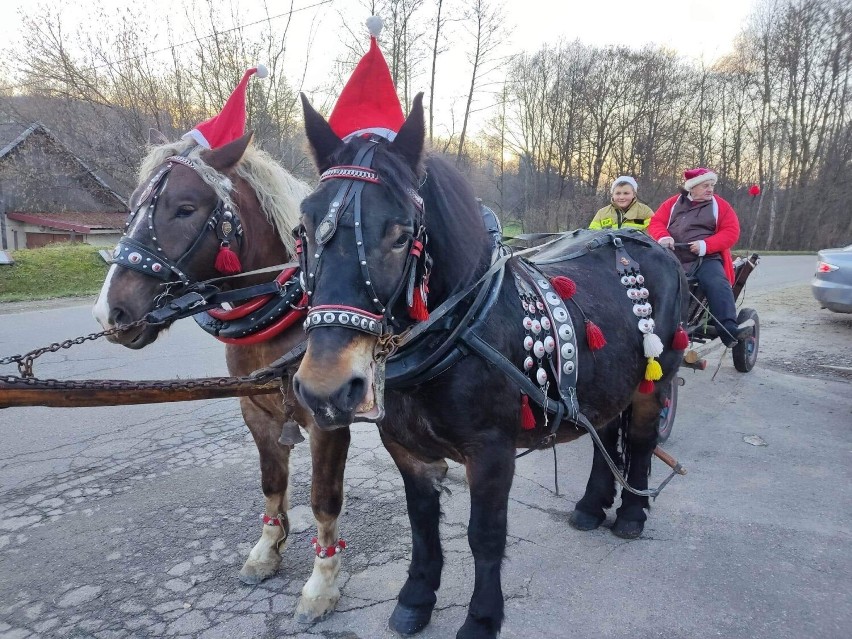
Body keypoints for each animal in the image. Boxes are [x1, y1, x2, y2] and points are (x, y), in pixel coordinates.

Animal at [91, 134, 348, 624]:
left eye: (185, 208)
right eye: (131, 207)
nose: (110, 313)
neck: (288, 309)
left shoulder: (329, 422)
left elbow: (323, 500)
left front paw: (321, 586)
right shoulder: (257, 411)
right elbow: (272, 484)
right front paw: (267, 550)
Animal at [290, 95, 688, 639]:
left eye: (400, 235)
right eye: (305, 229)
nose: (325, 388)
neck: (459, 327)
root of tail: (643, 242)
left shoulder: (492, 451)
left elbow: (485, 534)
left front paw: (481, 617)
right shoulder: (406, 449)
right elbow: (421, 524)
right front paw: (416, 599)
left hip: (654, 381)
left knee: (642, 440)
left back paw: (630, 514)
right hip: (608, 381)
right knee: (605, 434)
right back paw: (591, 506)